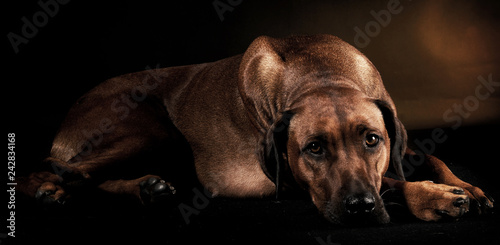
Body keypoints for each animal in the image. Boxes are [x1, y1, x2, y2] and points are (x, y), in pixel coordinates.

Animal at [18, 34, 492, 224]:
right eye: (313, 148)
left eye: (372, 140)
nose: (359, 207)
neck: (320, 73)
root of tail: (70, 110)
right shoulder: (291, 180)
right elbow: (392, 181)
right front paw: (432, 197)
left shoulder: (395, 137)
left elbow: (430, 156)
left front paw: (467, 187)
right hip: (153, 128)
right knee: (56, 169)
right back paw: (46, 191)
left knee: (86, 176)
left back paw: (148, 188)